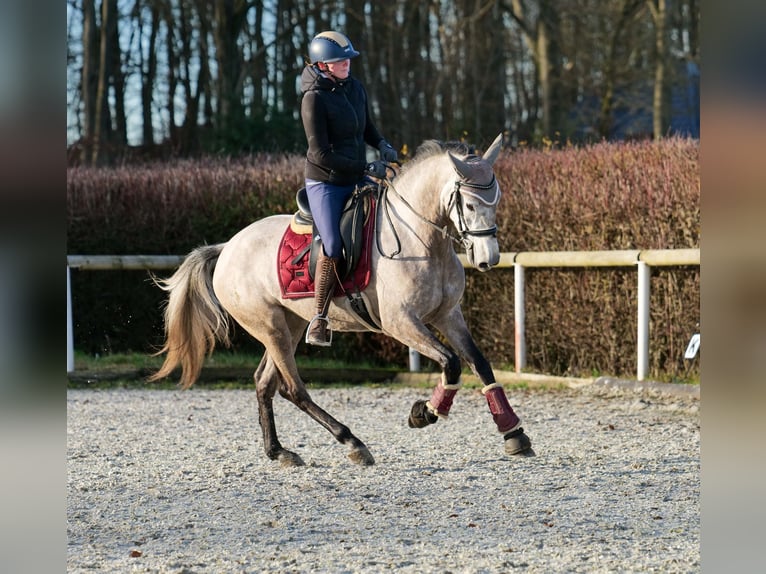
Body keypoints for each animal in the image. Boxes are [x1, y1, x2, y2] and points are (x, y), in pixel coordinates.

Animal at [150, 134, 536, 468]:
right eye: (469, 203)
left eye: (497, 199)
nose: (488, 259)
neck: (423, 240)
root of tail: (227, 247)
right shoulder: (401, 323)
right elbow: (451, 362)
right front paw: (424, 412)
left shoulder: (448, 316)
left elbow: (479, 363)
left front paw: (513, 433)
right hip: (270, 327)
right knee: (293, 389)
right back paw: (352, 442)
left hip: (290, 325)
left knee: (264, 383)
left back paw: (279, 451)